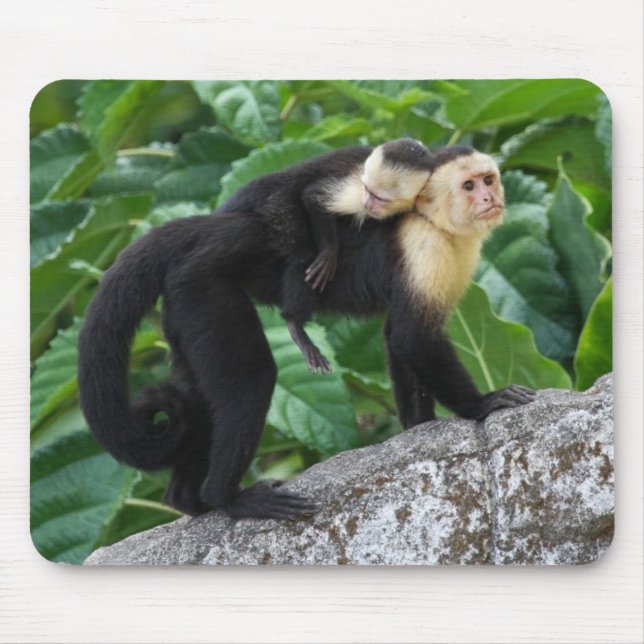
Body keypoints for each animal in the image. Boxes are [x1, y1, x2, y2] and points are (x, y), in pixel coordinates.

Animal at [220, 138, 433, 374]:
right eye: (368, 190)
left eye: (379, 198)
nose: (368, 204)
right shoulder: (355, 188)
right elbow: (313, 197)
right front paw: (330, 252)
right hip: (277, 205)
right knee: (302, 251)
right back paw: (295, 323)